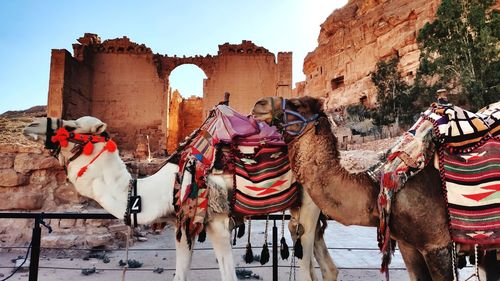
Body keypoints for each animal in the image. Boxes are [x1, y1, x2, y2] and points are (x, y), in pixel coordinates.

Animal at [21, 115, 338, 280]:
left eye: (70, 127)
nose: (32, 124)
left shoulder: (216, 221)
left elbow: (228, 276)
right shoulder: (188, 223)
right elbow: (181, 275)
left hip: (310, 202)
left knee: (308, 270)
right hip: (304, 211)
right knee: (326, 266)